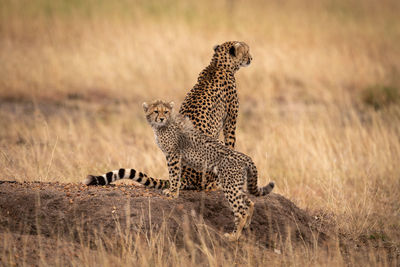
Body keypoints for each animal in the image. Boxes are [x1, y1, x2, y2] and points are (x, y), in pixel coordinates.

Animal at [143, 99, 276, 242]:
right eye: (156, 111)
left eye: (166, 111)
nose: (162, 118)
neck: (163, 125)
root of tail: (244, 156)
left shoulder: (173, 155)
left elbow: (174, 174)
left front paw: (172, 192)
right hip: (236, 184)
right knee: (249, 202)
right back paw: (246, 224)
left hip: (229, 185)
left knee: (241, 211)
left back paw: (234, 236)